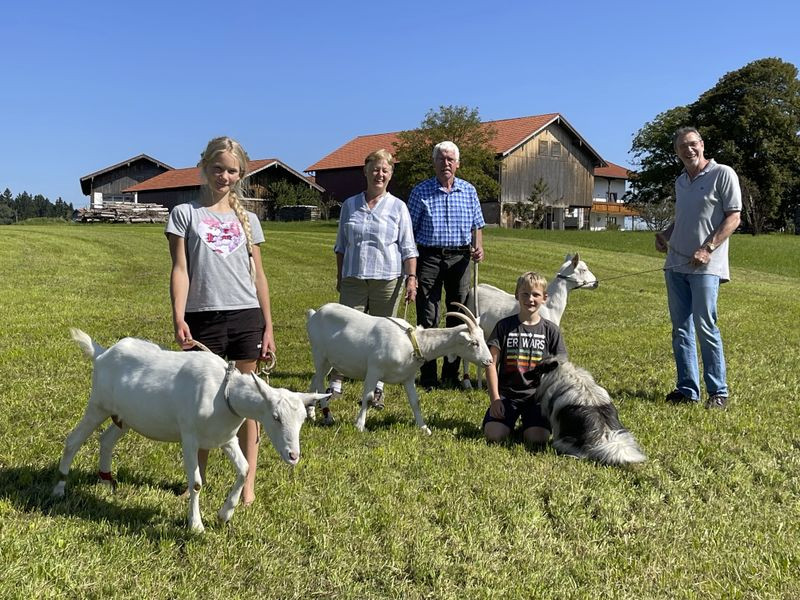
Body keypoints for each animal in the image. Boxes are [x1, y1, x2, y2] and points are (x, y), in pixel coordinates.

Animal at [53, 330, 328, 532]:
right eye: (275, 417)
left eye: (302, 419)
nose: (293, 455)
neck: (224, 392)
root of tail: (101, 354)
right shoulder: (189, 438)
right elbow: (195, 483)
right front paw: (196, 525)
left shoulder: (226, 438)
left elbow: (245, 468)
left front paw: (224, 514)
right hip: (98, 405)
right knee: (73, 440)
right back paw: (59, 488)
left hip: (125, 418)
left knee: (106, 439)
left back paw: (106, 481)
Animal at [308, 302, 490, 434]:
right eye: (474, 343)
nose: (488, 361)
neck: (413, 343)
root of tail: (314, 314)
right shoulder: (374, 369)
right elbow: (368, 397)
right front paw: (359, 426)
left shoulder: (408, 377)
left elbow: (415, 402)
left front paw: (424, 428)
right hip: (319, 354)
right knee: (320, 382)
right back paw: (328, 416)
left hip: (328, 360)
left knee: (315, 379)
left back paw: (311, 413)